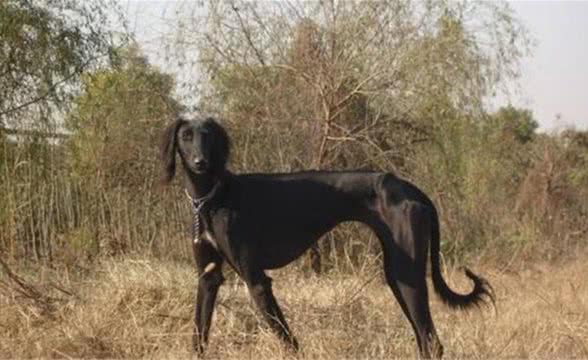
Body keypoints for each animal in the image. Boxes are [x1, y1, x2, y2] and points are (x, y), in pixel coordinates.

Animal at [160, 117, 492, 358]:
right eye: (185, 136)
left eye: (208, 136)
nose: (200, 162)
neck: (212, 196)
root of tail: (413, 189)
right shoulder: (208, 277)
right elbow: (199, 333)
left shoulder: (257, 280)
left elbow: (286, 338)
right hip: (398, 276)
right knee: (424, 340)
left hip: (407, 274)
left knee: (432, 342)